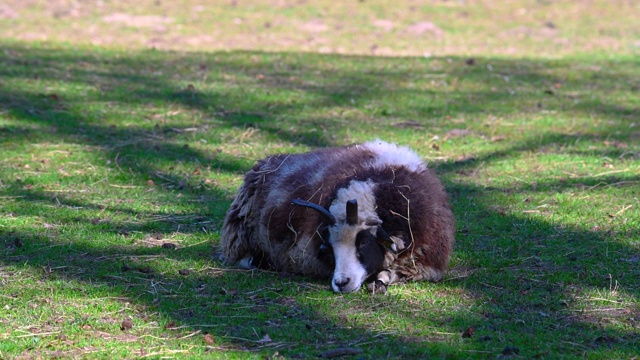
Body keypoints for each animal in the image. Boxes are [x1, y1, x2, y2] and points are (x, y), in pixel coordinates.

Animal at [220, 139, 456, 294]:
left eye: (363, 243)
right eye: (330, 247)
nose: (341, 283)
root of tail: (266, 162)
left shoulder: (424, 264)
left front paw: (381, 280)